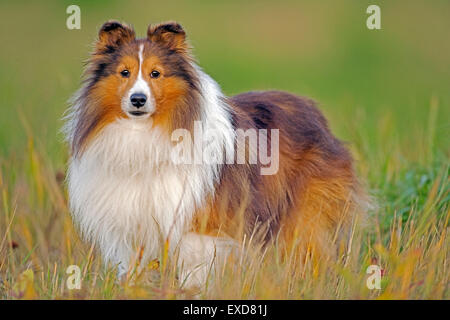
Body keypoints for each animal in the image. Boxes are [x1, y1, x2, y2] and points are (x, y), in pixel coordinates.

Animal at [64, 20, 370, 288]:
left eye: (156, 73)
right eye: (124, 72)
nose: (137, 100)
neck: (145, 133)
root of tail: (315, 112)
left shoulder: (198, 229)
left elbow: (195, 272)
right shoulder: (133, 229)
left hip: (304, 217)